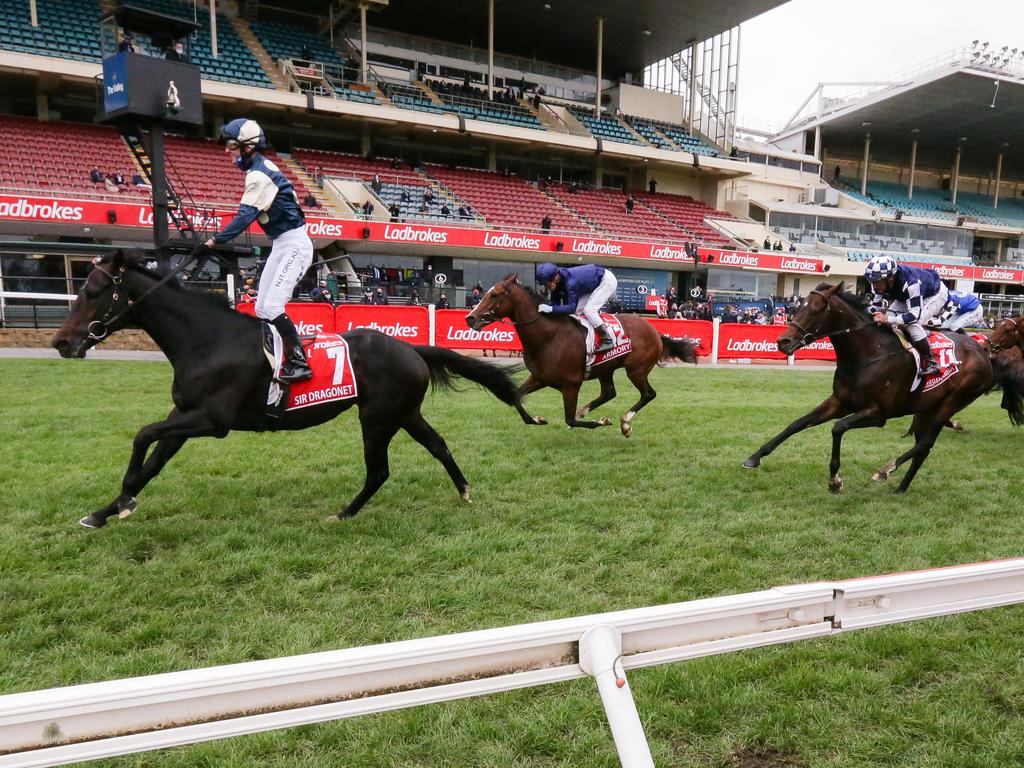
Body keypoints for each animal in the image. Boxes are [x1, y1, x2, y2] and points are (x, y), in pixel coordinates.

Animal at [51, 252, 524, 528]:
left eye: (94, 291)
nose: (61, 342)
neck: (208, 340)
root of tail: (410, 346)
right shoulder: (184, 416)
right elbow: (153, 461)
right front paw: (106, 510)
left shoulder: (212, 420)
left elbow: (141, 436)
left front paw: (122, 500)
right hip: (405, 412)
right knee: (438, 444)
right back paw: (463, 490)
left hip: (377, 417)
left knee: (378, 471)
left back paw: (344, 513)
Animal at [464, 274, 696, 436]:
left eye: (494, 295)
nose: (470, 318)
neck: (548, 337)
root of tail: (654, 330)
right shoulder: (539, 378)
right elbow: (516, 398)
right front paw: (538, 419)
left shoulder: (571, 384)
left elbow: (570, 420)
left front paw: (601, 421)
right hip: (606, 368)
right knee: (609, 393)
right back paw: (587, 410)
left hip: (636, 370)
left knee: (648, 394)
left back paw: (625, 423)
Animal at [745, 282, 1024, 493]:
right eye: (798, 306)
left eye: (816, 309)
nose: (783, 341)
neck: (869, 354)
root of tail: (985, 353)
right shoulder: (839, 402)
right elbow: (797, 423)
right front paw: (755, 457)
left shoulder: (878, 414)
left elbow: (838, 428)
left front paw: (834, 480)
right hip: (926, 408)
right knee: (923, 446)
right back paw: (901, 485)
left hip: (951, 402)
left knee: (924, 444)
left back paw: (886, 471)